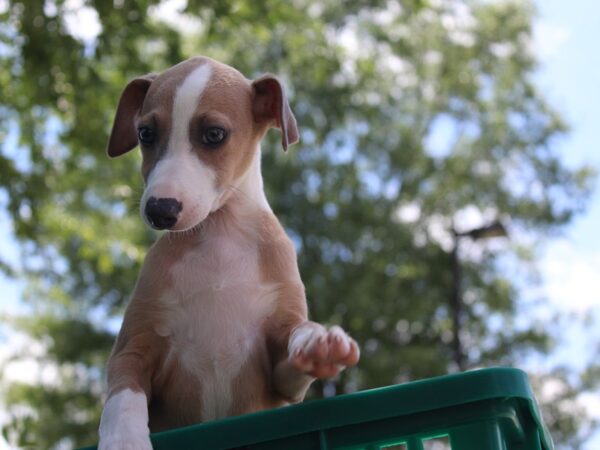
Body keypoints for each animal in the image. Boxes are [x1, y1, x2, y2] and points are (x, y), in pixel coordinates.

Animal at [98, 57, 358, 450]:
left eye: (214, 134)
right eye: (144, 134)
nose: (159, 210)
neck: (219, 236)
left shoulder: (279, 376)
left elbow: (296, 340)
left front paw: (318, 343)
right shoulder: (133, 348)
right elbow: (123, 396)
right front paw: (123, 440)